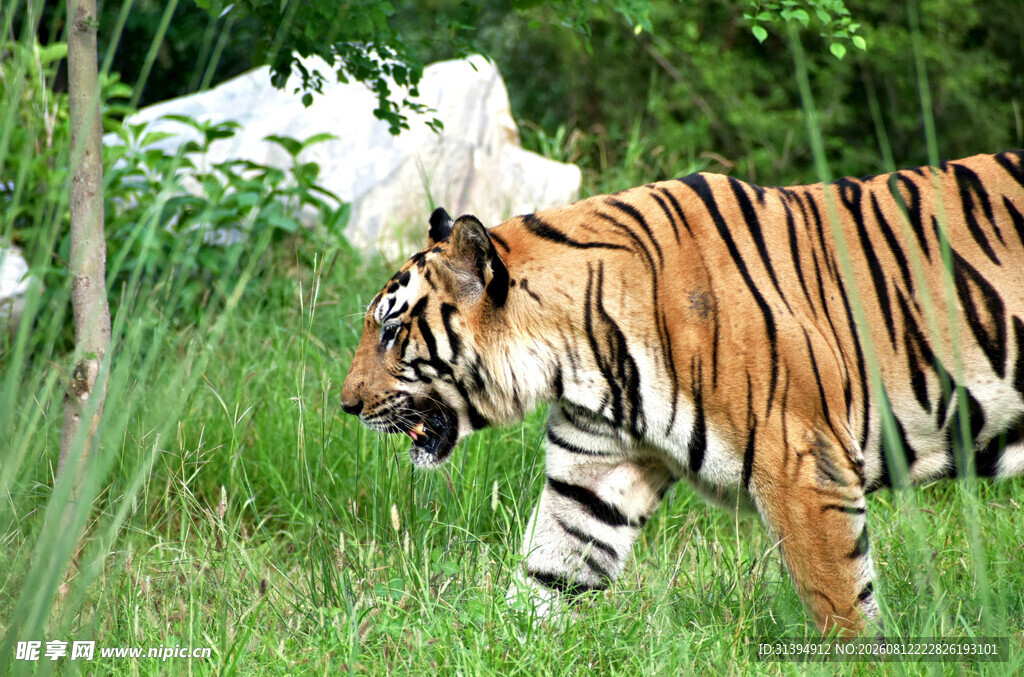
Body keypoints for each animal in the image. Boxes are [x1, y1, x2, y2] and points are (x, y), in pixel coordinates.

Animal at [340, 150, 1024, 635]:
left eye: (393, 329)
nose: (346, 405)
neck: (578, 355)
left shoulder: (803, 466)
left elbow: (841, 604)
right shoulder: (595, 472)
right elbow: (548, 574)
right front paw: (501, 645)